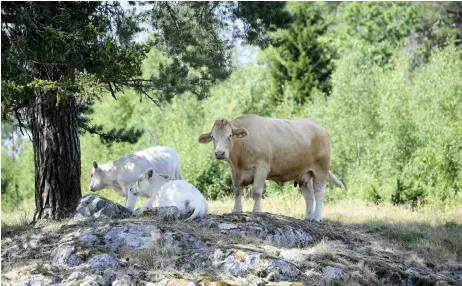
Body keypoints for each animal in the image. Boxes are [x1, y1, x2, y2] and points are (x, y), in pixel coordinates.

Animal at [197, 114, 344, 221]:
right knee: (308, 194)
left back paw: (317, 217)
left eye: (230, 135)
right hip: (303, 173)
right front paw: (236, 210)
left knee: (319, 191)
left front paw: (257, 210)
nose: (219, 153)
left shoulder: (262, 167)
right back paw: (308, 217)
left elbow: (256, 191)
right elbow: (237, 191)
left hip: (321, 168)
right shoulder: (235, 171)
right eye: (213, 137)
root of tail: (318, 125)